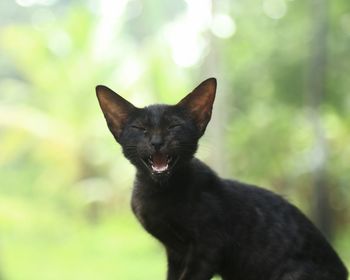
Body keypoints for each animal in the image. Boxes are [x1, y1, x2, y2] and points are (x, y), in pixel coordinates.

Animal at [95, 78, 348, 280]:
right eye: (140, 128)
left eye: (174, 126)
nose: (157, 142)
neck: (158, 192)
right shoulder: (175, 253)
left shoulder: (208, 247)